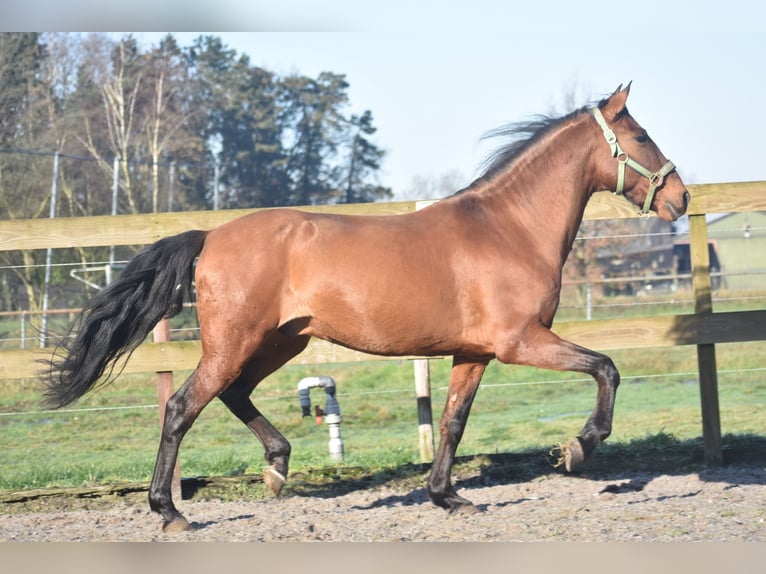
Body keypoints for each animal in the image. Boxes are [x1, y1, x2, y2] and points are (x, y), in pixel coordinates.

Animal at [40, 83, 688, 532]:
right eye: (642, 137)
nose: (680, 198)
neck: (508, 229)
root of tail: (211, 237)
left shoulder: (473, 354)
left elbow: (451, 422)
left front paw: (448, 497)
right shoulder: (519, 342)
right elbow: (606, 367)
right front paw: (578, 447)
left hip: (282, 341)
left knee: (233, 394)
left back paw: (277, 466)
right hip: (236, 342)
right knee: (180, 407)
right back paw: (170, 511)